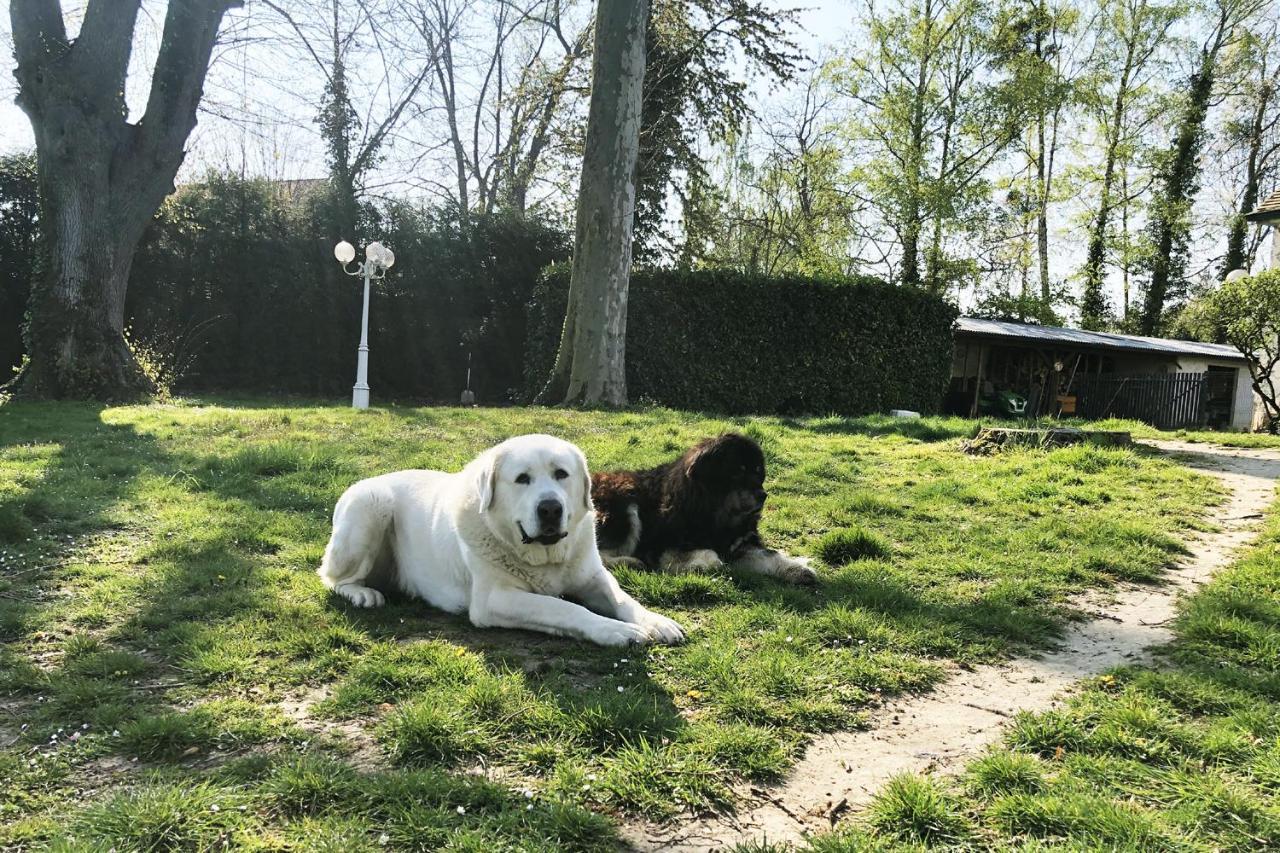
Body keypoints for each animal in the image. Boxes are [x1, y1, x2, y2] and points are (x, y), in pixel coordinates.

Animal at [316, 432, 686, 645]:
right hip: (371, 505)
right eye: (522, 479)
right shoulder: (495, 599)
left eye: (561, 474)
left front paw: (657, 622)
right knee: (332, 578)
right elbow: (562, 607)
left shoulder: (595, 577)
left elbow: (624, 600)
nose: (550, 508)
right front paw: (616, 631)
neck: (544, 557)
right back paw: (363, 594)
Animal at [591, 432, 814, 584]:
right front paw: (699, 566)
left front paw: (797, 568)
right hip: (624, 503)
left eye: (758, 471)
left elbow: (769, 553)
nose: (763, 495)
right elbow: (710, 556)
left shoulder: (737, 544)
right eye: (738, 471)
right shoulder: (662, 545)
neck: (714, 516)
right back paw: (629, 562)